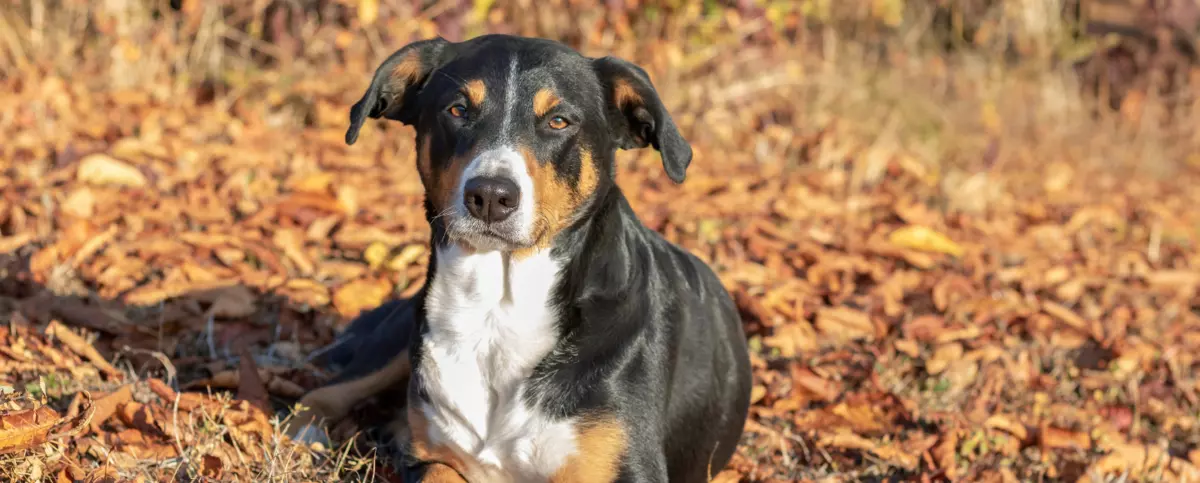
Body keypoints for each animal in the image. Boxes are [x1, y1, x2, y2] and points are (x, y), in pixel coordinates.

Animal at [285, 34, 748, 483]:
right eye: (458, 110)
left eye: (558, 121)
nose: (490, 196)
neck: (498, 307)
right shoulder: (431, 458)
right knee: (322, 393)